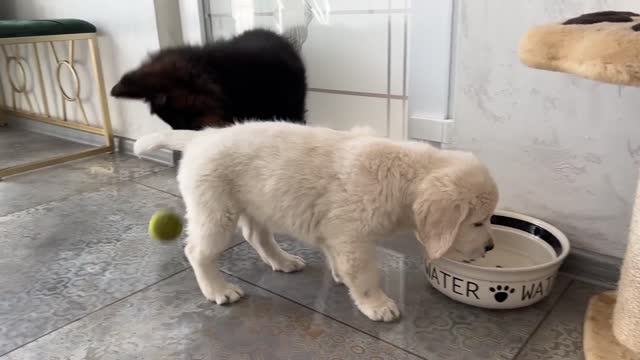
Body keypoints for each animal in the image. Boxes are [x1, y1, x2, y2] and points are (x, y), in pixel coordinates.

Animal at [135, 122, 500, 322]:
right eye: (478, 222)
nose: (490, 247)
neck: (403, 176)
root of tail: (201, 138)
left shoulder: (336, 231)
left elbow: (338, 258)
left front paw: (340, 276)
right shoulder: (353, 236)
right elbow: (364, 274)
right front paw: (377, 304)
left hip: (258, 200)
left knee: (256, 234)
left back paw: (283, 261)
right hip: (214, 209)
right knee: (198, 251)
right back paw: (218, 290)